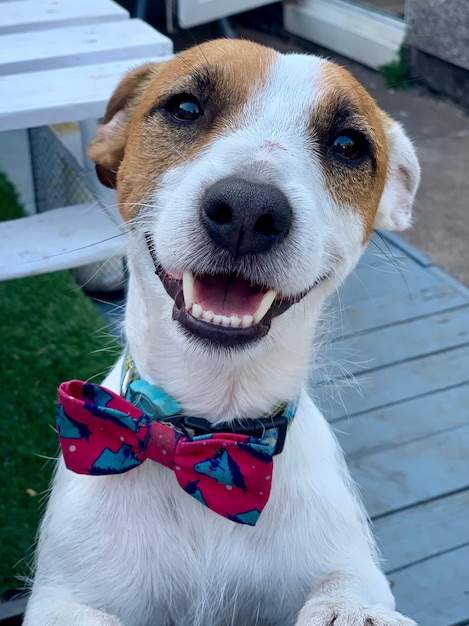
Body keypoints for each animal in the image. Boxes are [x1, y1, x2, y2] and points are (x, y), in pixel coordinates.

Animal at [23, 40, 420, 624]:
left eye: (349, 145)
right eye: (185, 108)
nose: (249, 209)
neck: (208, 429)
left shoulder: (350, 565)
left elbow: (347, 590)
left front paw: (351, 613)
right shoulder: (63, 595)